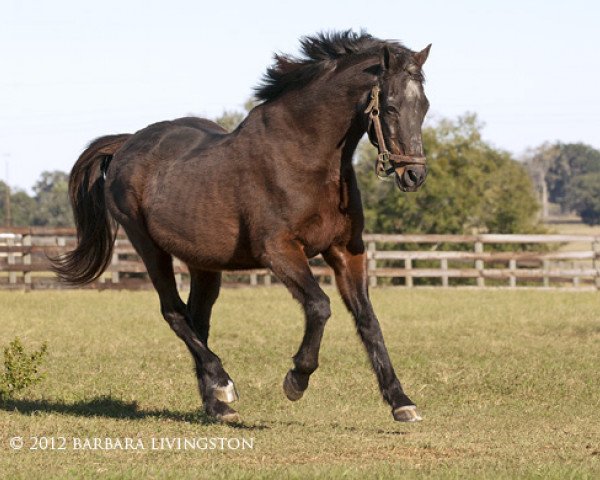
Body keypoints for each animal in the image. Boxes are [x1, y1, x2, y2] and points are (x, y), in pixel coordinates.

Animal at [54, 30, 432, 422]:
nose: (414, 175)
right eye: (390, 107)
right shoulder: (279, 250)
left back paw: (218, 406)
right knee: (174, 313)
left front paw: (401, 402)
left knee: (197, 320)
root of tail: (127, 143)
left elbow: (368, 320)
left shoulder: (345, 250)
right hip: (148, 247)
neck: (305, 156)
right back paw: (223, 382)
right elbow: (319, 305)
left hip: (203, 264)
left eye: (424, 107)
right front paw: (296, 379)